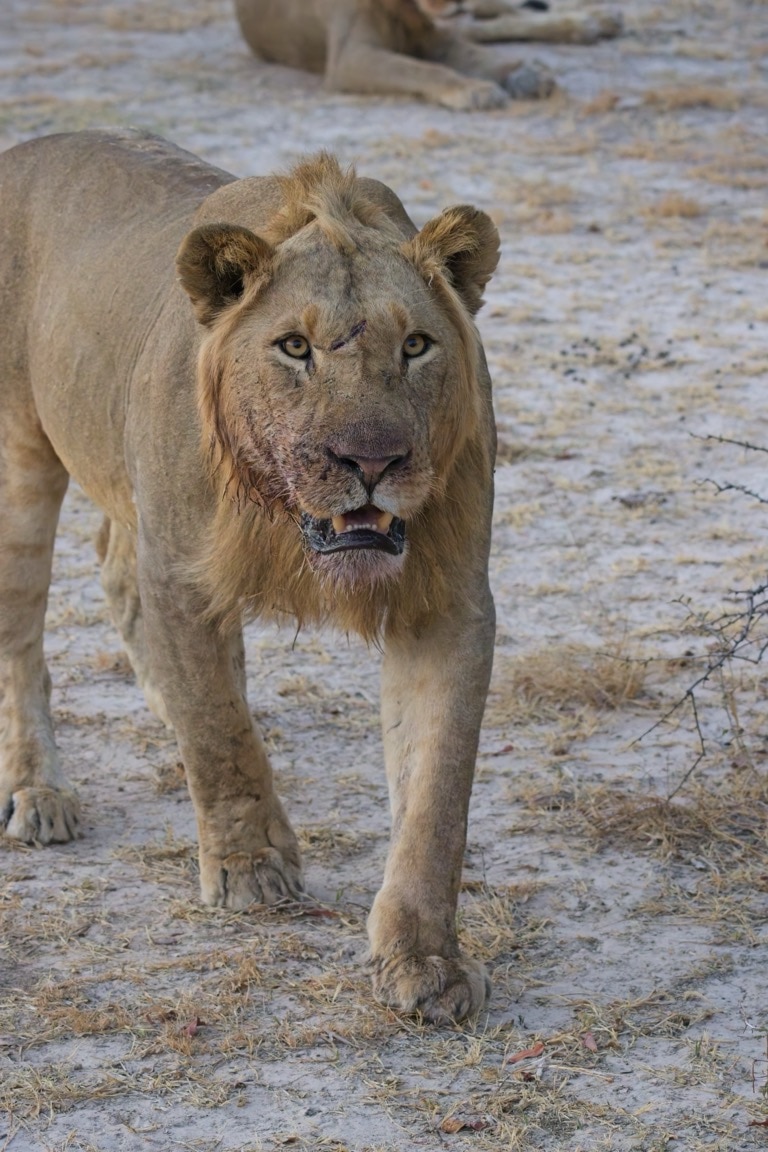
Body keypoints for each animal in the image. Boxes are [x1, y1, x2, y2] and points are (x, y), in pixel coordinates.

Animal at [0, 129, 498, 1024]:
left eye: (415, 345)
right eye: (294, 347)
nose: (372, 461)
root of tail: (24, 147)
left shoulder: (448, 602)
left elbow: (437, 791)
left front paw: (424, 957)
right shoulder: (182, 570)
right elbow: (219, 731)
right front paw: (249, 869)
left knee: (118, 570)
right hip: (22, 454)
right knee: (24, 634)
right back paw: (37, 792)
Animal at [234, 0, 622, 110]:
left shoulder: (436, 38)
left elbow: (472, 54)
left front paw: (522, 75)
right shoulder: (349, 57)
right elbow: (423, 70)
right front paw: (475, 90)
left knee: (501, 15)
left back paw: (593, 20)